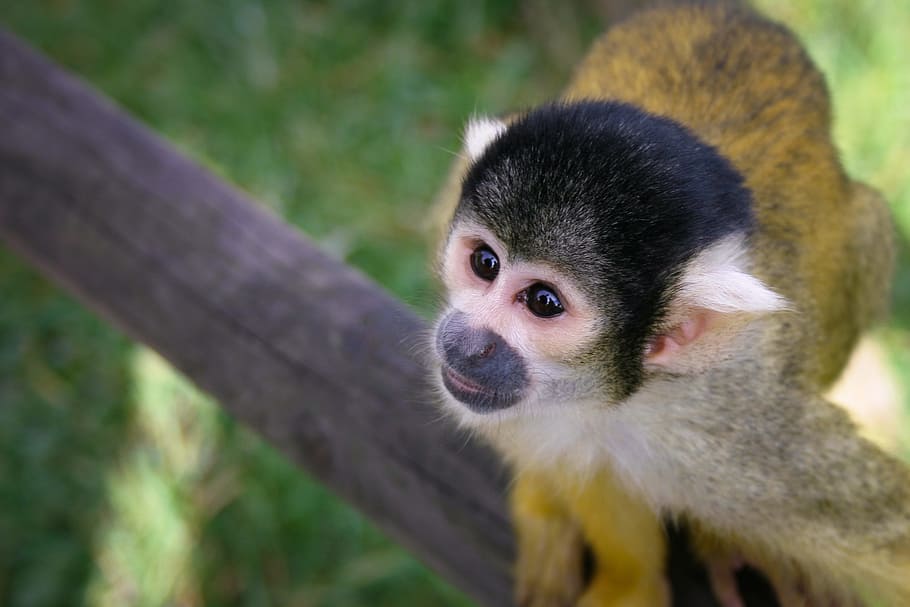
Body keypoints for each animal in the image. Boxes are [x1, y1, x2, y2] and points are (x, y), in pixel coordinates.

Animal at [430, 4, 909, 606]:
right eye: (485, 262)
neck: (622, 396)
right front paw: (629, 576)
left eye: (543, 301)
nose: (466, 340)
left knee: (870, 226)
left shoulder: (745, 433)